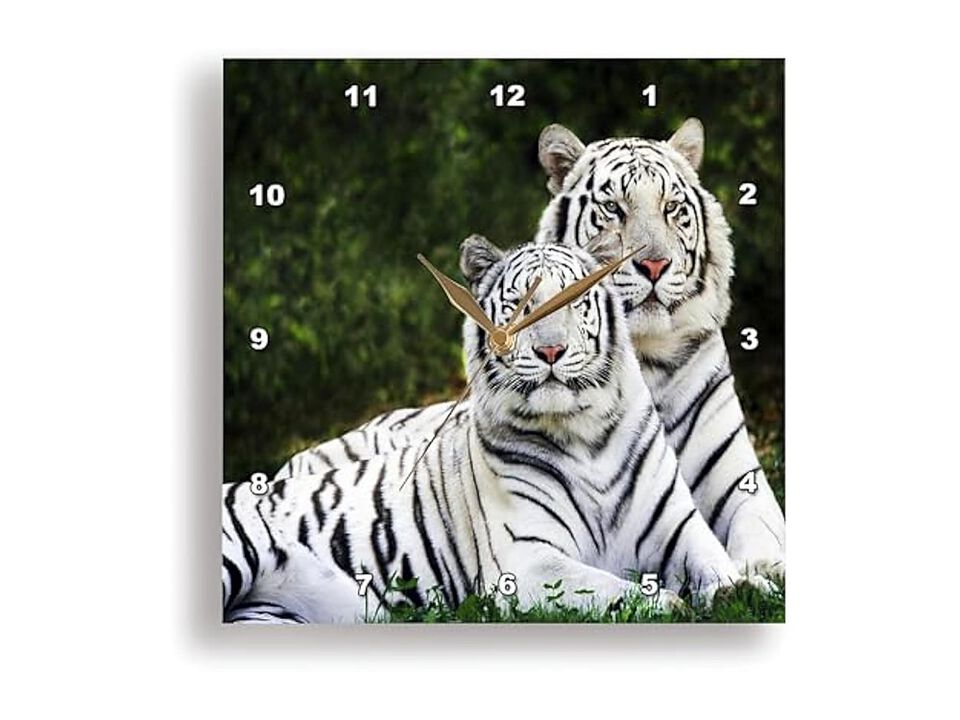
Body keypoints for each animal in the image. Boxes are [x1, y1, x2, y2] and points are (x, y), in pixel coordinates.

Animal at [225, 239, 746, 623]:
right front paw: (671, 604)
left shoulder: (679, 527)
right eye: (518, 306)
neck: (585, 435)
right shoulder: (526, 562)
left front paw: (741, 589)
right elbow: (613, 588)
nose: (550, 351)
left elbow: (716, 563)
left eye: (575, 300)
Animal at [277, 119, 785, 579]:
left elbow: (760, 531)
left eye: (672, 208)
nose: (654, 265)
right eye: (613, 208)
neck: (643, 358)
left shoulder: (738, 481)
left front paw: (760, 571)